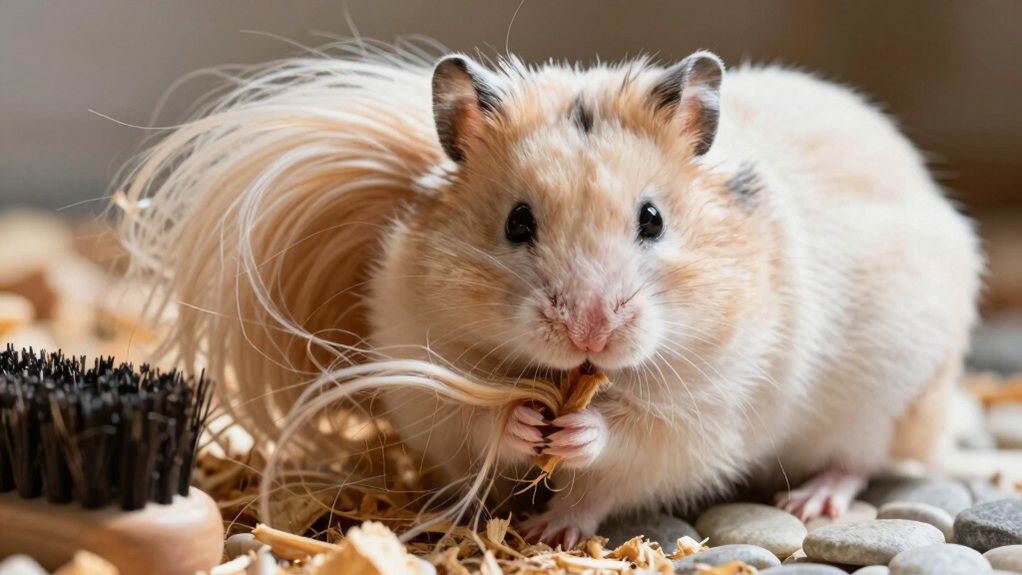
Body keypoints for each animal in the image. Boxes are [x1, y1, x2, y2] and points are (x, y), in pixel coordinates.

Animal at [117, 46, 982, 549]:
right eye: (518, 222)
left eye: (652, 219)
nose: (590, 330)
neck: (571, 376)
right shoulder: (418, 368)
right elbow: (477, 419)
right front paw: (528, 423)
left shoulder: (706, 413)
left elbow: (624, 452)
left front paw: (562, 495)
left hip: (886, 393)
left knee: (861, 457)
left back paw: (811, 504)